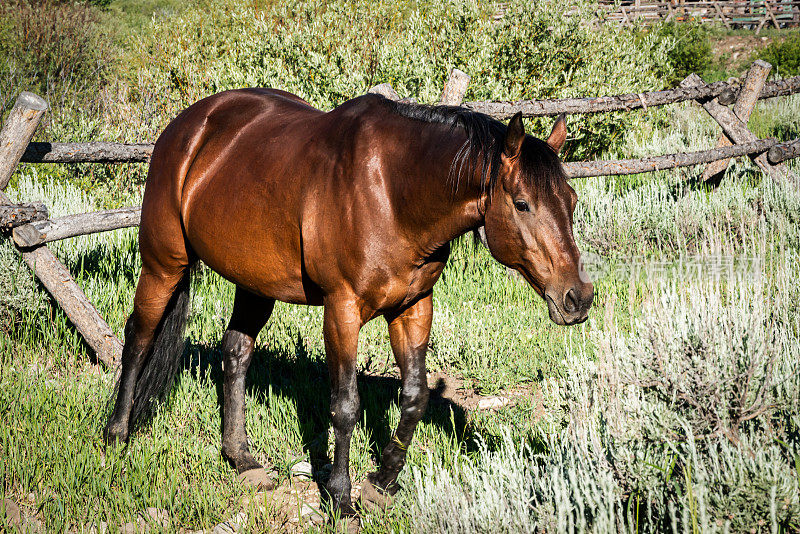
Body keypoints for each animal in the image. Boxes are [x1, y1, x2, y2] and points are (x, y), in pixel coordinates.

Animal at [103, 88, 592, 520]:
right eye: (523, 204)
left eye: (570, 200)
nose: (578, 298)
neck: (392, 193)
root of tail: (187, 125)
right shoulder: (342, 311)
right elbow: (345, 406)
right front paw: (340, 499)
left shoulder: (414, 306)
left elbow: (414, 397)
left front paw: (382, 482)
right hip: (163, 264)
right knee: (139, 339)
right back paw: (116, 434)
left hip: (253, 281)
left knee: (236, 352)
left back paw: (241, 457)